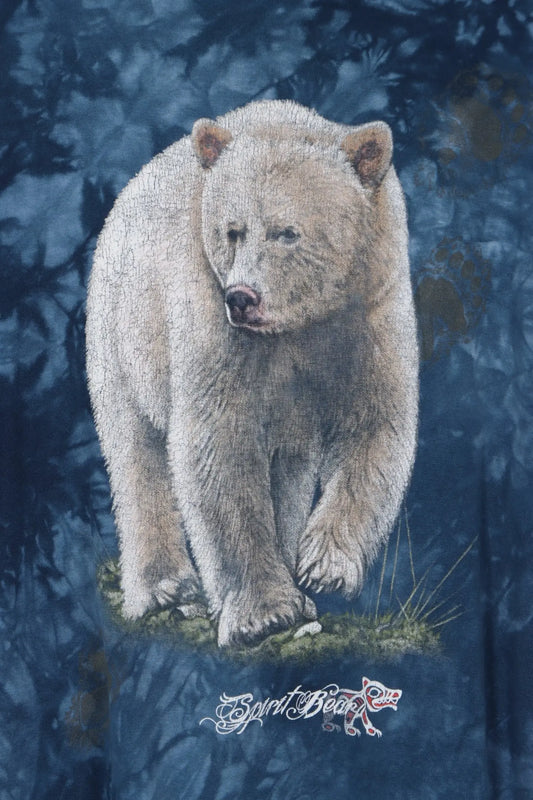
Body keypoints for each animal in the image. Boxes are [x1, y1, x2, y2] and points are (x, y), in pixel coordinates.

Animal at [86, 100, 418, 648]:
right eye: (232, 230)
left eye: (288, 232)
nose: (243, 298)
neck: (300, 324)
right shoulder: (209, 313)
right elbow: (218, 445)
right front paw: (264, 612)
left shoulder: (369, 311)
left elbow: (374, 426)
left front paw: (323, 567)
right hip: (123, 336)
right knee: (136, 452)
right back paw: (163, 589)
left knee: (289, 470)